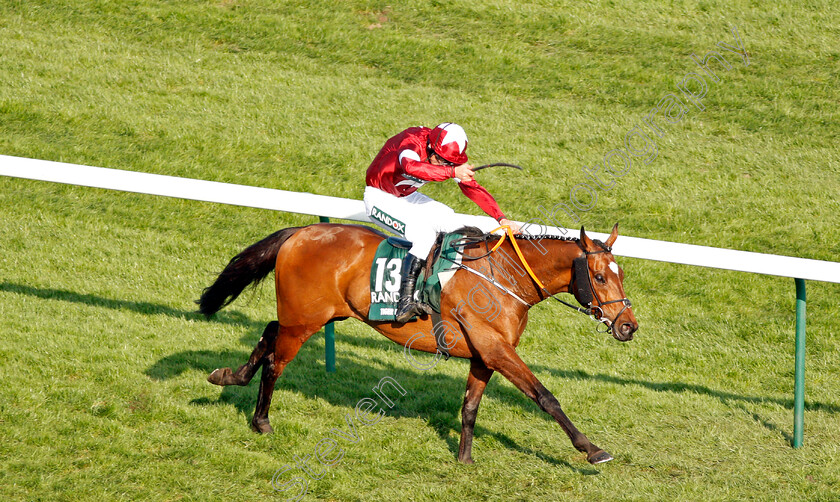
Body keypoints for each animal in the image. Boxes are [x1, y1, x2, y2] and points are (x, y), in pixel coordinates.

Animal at [200, 222, 640, 464]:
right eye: (600, 277)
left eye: (621, 275)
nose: (628, 326)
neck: (504, 276)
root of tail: (302, 231)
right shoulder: (498, 349)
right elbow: (546, 396)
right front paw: (591, 449)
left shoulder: (484, 354)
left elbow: (470, 407)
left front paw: (464, 459)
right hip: (305, 320)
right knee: (276, 362)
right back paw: (261, 421)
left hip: (315, 315)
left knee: (270, 330)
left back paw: (229, 376)